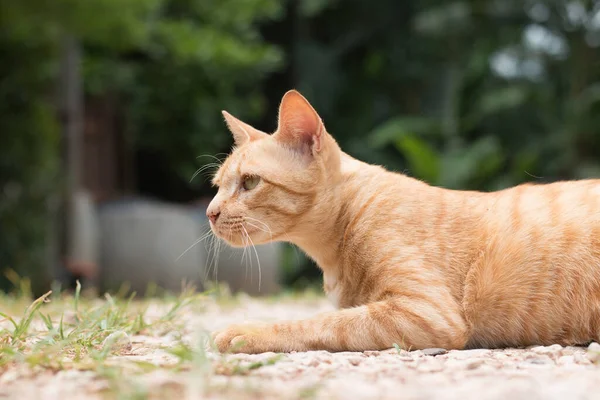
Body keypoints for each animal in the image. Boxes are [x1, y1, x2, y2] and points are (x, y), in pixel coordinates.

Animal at [206, 90, 600, 354]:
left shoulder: (426, 312)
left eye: (250, 182)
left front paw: (248, 332)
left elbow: (323, 322)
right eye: (217, 186)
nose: (210, 212)